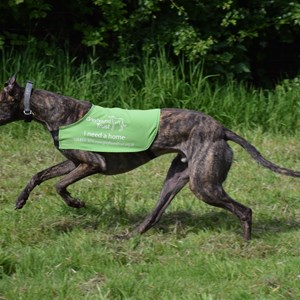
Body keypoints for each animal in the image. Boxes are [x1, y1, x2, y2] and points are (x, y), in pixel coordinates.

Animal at [0, 76, 300, 240]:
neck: (54, 110)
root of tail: (221, 130)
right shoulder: (74, 163)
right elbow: (39, 175)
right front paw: (20, 200)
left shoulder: (91, 163)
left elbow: (59, 185)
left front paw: (76, 203)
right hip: (177, 178)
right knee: (153, 216)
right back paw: (126, 237)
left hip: (203, 185)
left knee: (245, 211)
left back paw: (245, 246)